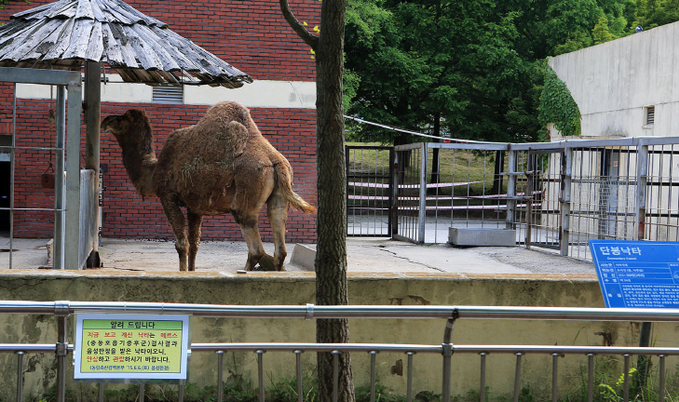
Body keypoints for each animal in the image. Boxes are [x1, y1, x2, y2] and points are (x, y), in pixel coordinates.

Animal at [100, 100, 316, 272]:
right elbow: (195, 244)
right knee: (280, 248)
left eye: (122, 119)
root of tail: (275, 160)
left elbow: (182, 244)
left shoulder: (167, 197)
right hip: (279, 198)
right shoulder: (195, 207)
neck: (153, 172)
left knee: (255, 250)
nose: (104, 122)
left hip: (247, 196)